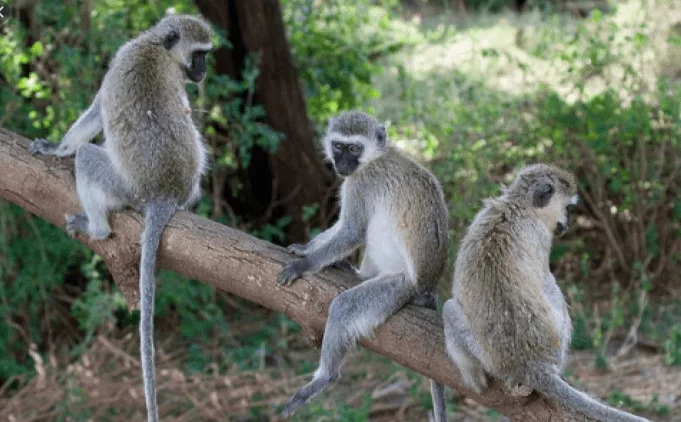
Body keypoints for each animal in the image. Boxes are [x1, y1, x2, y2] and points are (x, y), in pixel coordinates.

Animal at [28, 15, 212, 422]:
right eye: (200, 55)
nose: (203, 71)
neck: (155, 46)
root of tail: (163, 191)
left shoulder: (121, 57)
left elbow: (96, 113)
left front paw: (57, 147)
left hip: (122, 187)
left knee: (85, 156)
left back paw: (95, 228)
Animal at [276, 110, 449, 421]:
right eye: (338, 146)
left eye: (354, 148)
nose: (343, 164)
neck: (374, 158)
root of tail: (428, 286)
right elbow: (342, 228)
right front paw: (306, 248)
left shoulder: (361, 183)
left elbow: (352, 231)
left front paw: (305, 264)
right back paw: (355, 271)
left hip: (399, 286)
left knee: (344, 307)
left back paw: (325, 377)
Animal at [442, 164, 651, 422]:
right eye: (568, 208)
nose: (569, 223)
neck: (518, 205)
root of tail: (530, 364)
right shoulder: (541, 237)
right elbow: (547, 283)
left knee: (449, 308)